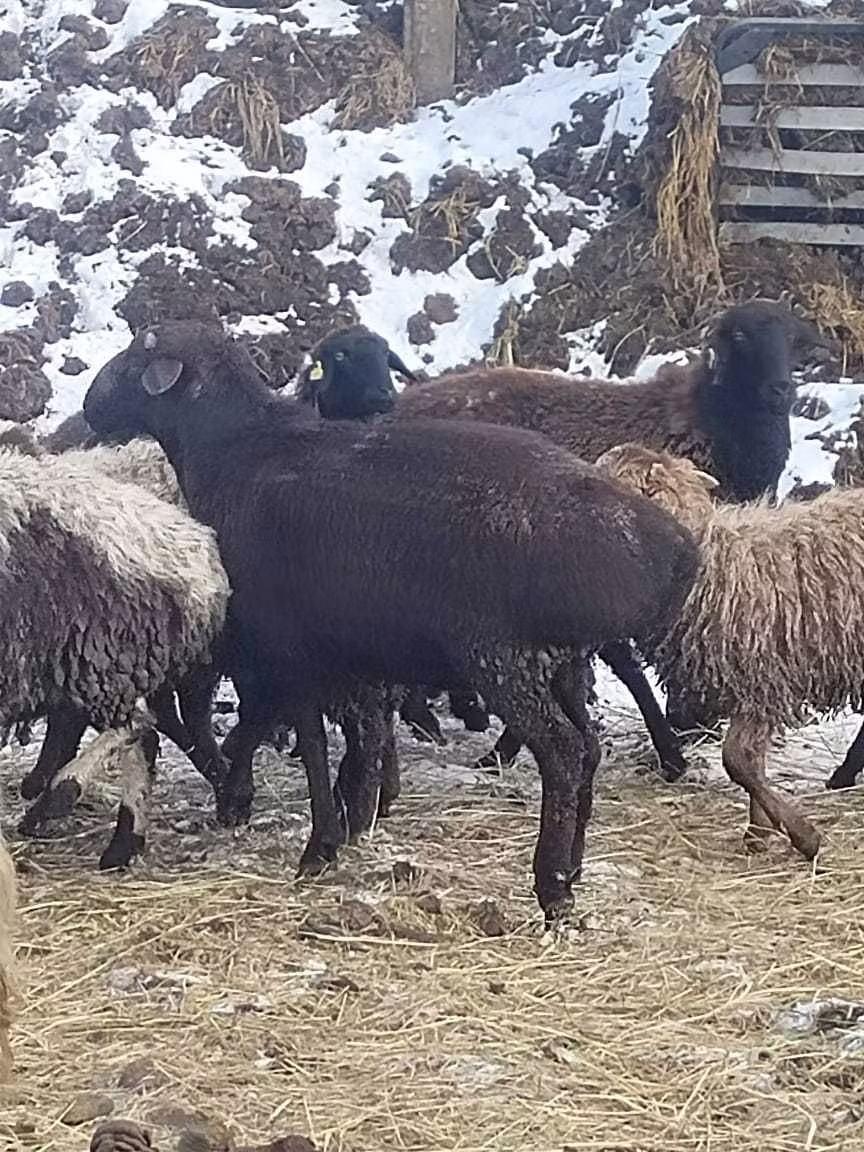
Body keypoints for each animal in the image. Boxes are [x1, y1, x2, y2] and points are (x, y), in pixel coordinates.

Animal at [82, 320, 700, 923]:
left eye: (135, 358)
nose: (90, 407)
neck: (235, 447)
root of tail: (665, 547)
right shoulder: (348, 654)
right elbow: (361, 739)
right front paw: (351, 819)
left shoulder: (288, 646)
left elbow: (311, 742)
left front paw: (319, 846)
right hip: (561, 658)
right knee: (588, 747)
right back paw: (572, 868)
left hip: (504, 657)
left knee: (564, 752)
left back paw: (552, 886)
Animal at [594, 440, 855, 860]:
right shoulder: (751, 687)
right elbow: (752, 764)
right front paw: (759, 832)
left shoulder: (764, 680)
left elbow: (738, 763)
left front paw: (802, 836)